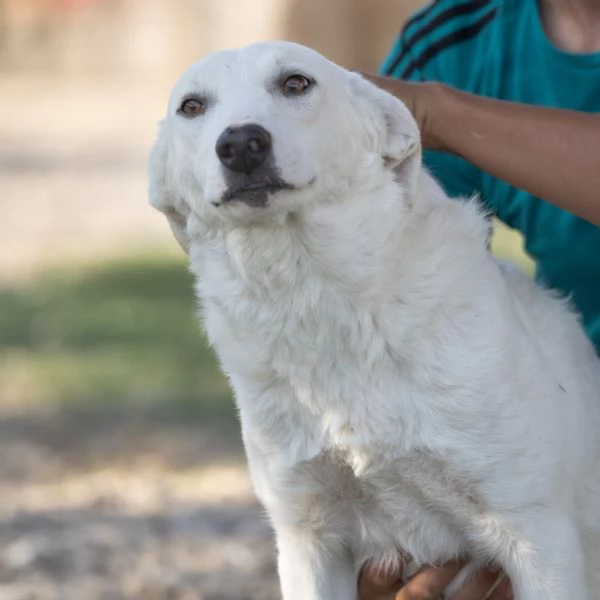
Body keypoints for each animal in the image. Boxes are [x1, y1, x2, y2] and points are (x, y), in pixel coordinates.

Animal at [149, 39, 600, 596]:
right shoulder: (308, 541)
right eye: (192, 107)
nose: (239, 144)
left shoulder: (539, 537)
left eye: (296, 83)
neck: (317, 296)